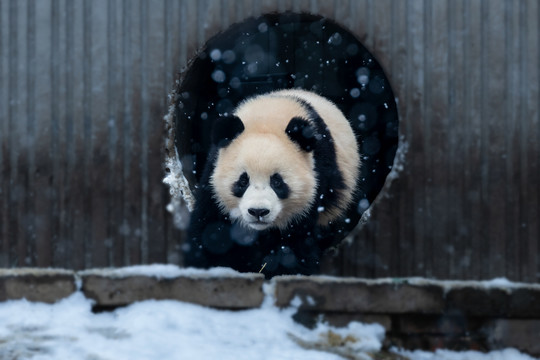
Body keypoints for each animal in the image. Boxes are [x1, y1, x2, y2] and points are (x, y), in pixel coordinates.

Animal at [185, 88, 358, 278]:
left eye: (277, 182)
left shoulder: (318, 179)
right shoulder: (213, 180)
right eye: (243, 180)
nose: (258, 211)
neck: (267, 121)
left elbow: (293, 244)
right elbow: (210, 230)